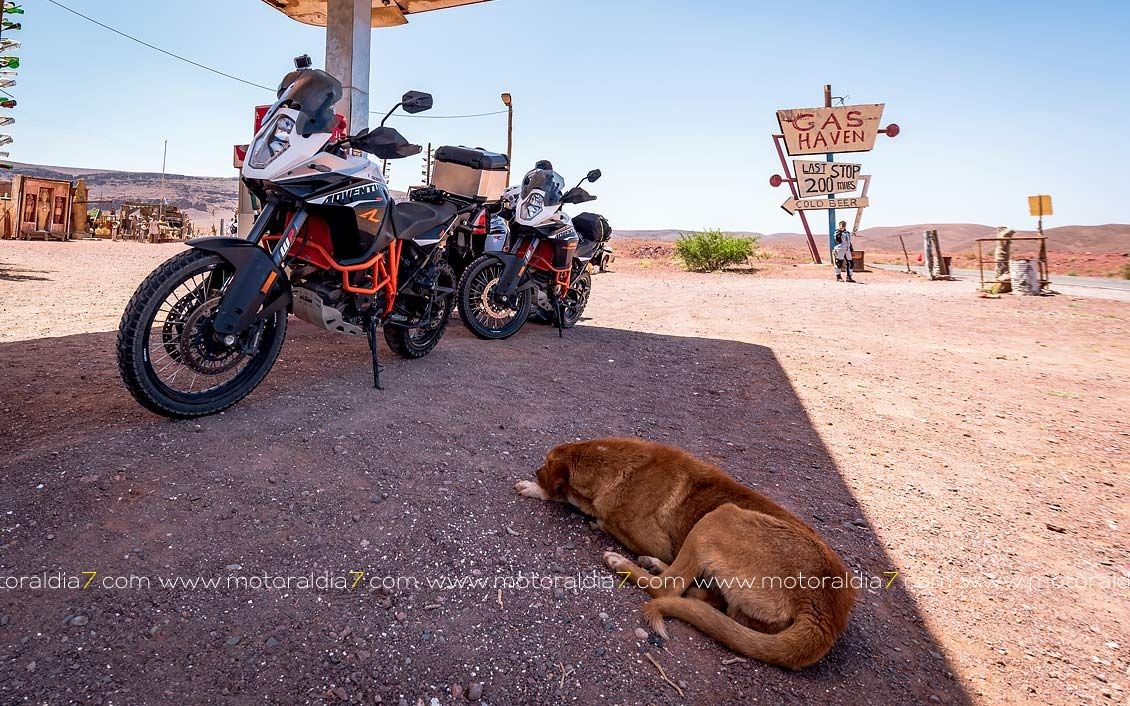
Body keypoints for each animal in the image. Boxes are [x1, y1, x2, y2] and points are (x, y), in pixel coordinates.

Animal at [515, 437, 855, 670]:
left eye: (544, 464)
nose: (535, 470)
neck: (620, 466)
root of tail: (828, 610)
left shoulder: (641, 534)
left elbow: (589, 511)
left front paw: (540, 489)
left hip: (718, 518)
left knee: (667, 587)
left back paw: (624, 562)